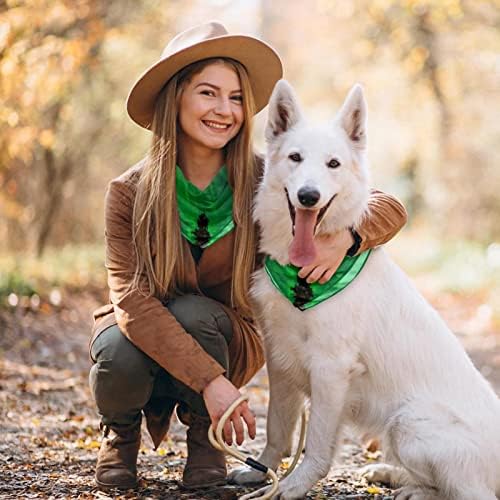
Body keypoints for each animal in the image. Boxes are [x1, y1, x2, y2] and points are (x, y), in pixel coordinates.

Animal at [230, 80, 500, 498]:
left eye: (333, 164)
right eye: (295, 158)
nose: (308, 196)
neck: (305, 275)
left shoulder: (330, 368)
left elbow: (317, 445)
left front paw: (291, 486)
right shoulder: (280, 360)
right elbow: (277, 429)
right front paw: (262, 471)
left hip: (407, 422)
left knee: (469, 493)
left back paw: (413, 489)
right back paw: (389, 473)